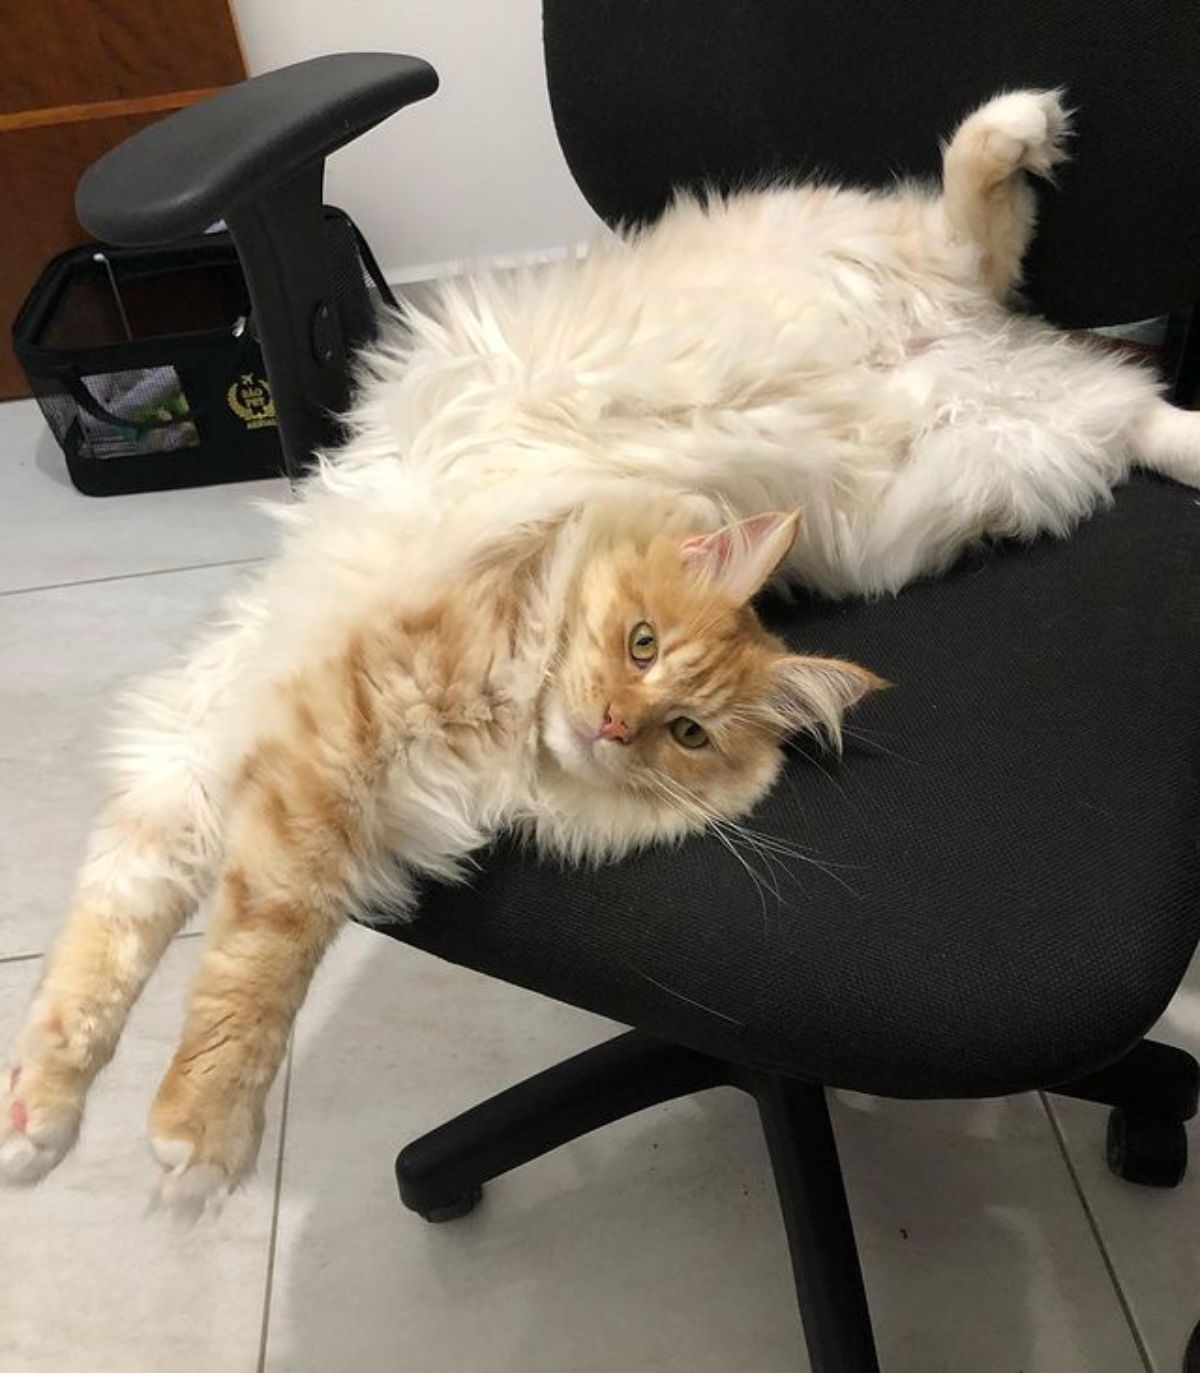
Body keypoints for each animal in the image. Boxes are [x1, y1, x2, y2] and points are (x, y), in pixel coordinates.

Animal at [2, 88, 1197, 1213]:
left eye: (687, 730)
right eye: (640, 640)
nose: (615, 722)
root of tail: (977, 348)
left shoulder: (316, 778)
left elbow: (251, 960)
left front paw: (195, 1138)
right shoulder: (215, 765)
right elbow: (111, 951)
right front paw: (40, 1123)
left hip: (994, 443)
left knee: (1027, 282)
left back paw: (1024, 134)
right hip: (972, 397)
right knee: (1024, 285)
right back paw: (1025, 137)